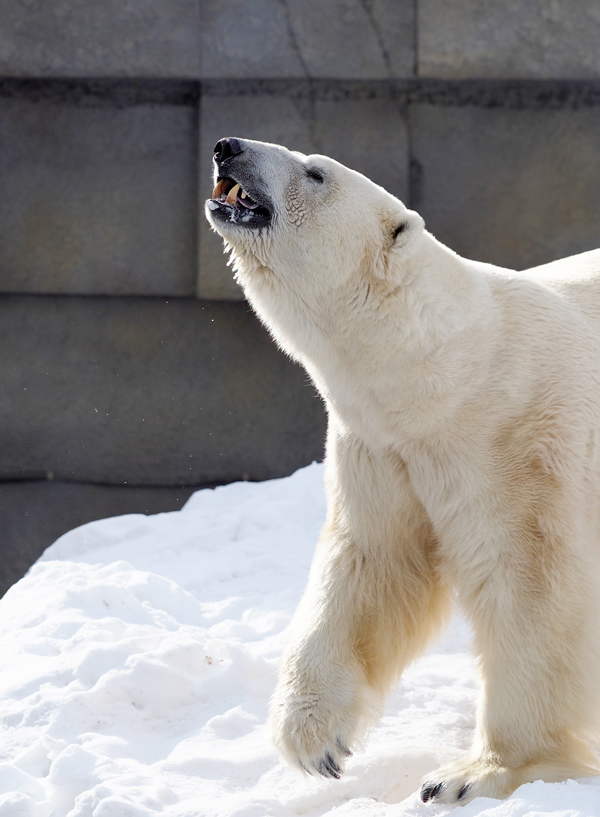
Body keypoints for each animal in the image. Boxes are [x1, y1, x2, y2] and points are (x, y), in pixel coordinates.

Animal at [205, 137, 600, 800]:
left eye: (315, 172)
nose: (226, 147)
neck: (453, 372)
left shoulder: (521, 443)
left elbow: (533, 588)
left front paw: (477, 774)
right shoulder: (382, 448)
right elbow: (372, 566)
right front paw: (314, 740)